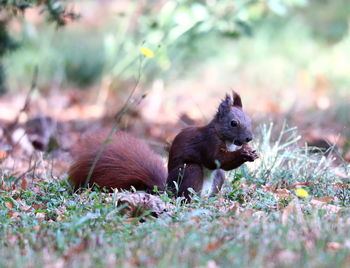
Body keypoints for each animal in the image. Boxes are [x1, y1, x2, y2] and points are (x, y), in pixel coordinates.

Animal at [69, 91, 260, 198]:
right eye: (233, 123)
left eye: (250, 120)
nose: (249, 138)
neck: (226, 139)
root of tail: (167, 189)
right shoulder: (207, 142)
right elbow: (216, 159)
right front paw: (244, 154)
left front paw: (252, 153)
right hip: (190, 171)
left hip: (218, 178)